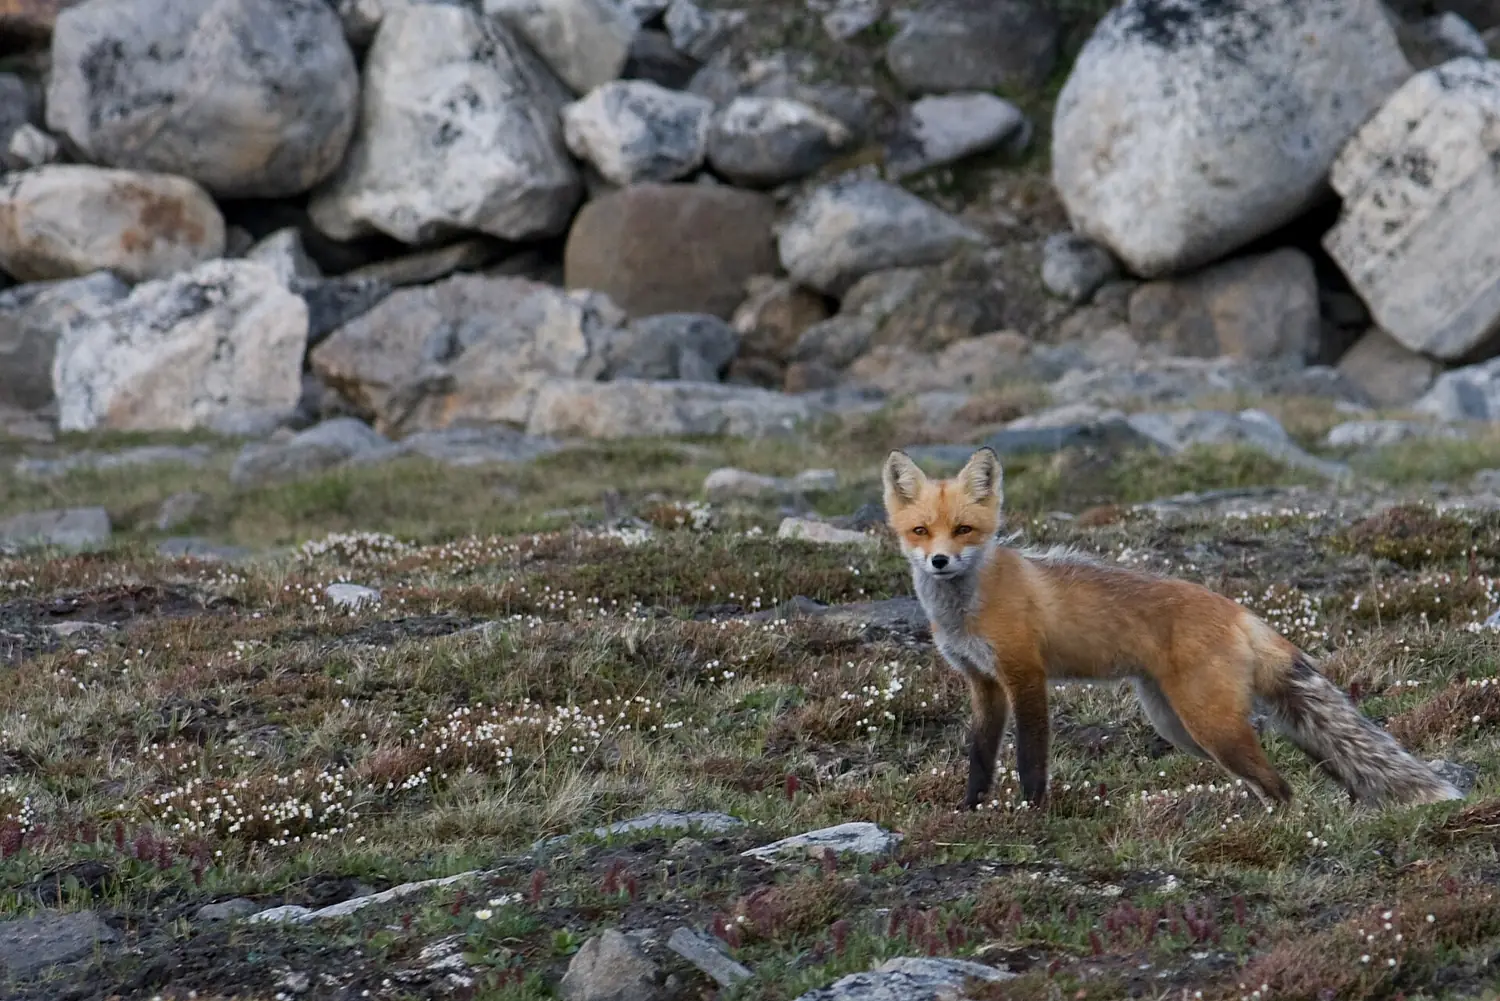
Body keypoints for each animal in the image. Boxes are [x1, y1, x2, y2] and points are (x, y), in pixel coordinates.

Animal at [881, 445, 1465, 813]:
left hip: (1210, 727)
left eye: (964, 529)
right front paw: (970, 813)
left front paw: (1032, 814)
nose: (939, 561)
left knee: (1283, 788)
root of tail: (1239, 610)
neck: (967, 605)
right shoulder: (983, 684)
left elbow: (1030, 758)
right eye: (920, 531)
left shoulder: (1026, 675)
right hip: (1179, 728)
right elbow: (980, 758)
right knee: (1265, 786)